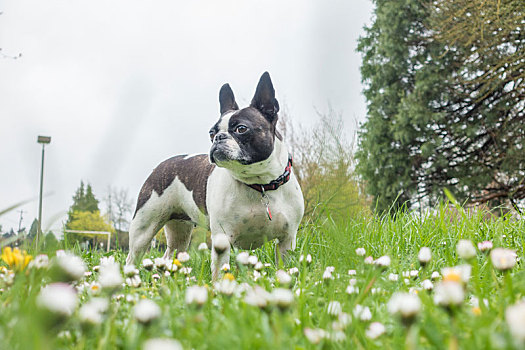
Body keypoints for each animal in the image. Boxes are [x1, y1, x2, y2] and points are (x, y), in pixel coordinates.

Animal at [125, 72, 302, 280]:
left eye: (241, 129)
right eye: (211, 133)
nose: (218, 138)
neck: (260, 184)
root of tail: (163, 164)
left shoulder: (287, 240)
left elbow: (285, 268)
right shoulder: (222, 238)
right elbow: (220, 271)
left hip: (179, 231)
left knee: (170, 255)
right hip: (143, 227)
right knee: (132, 257)